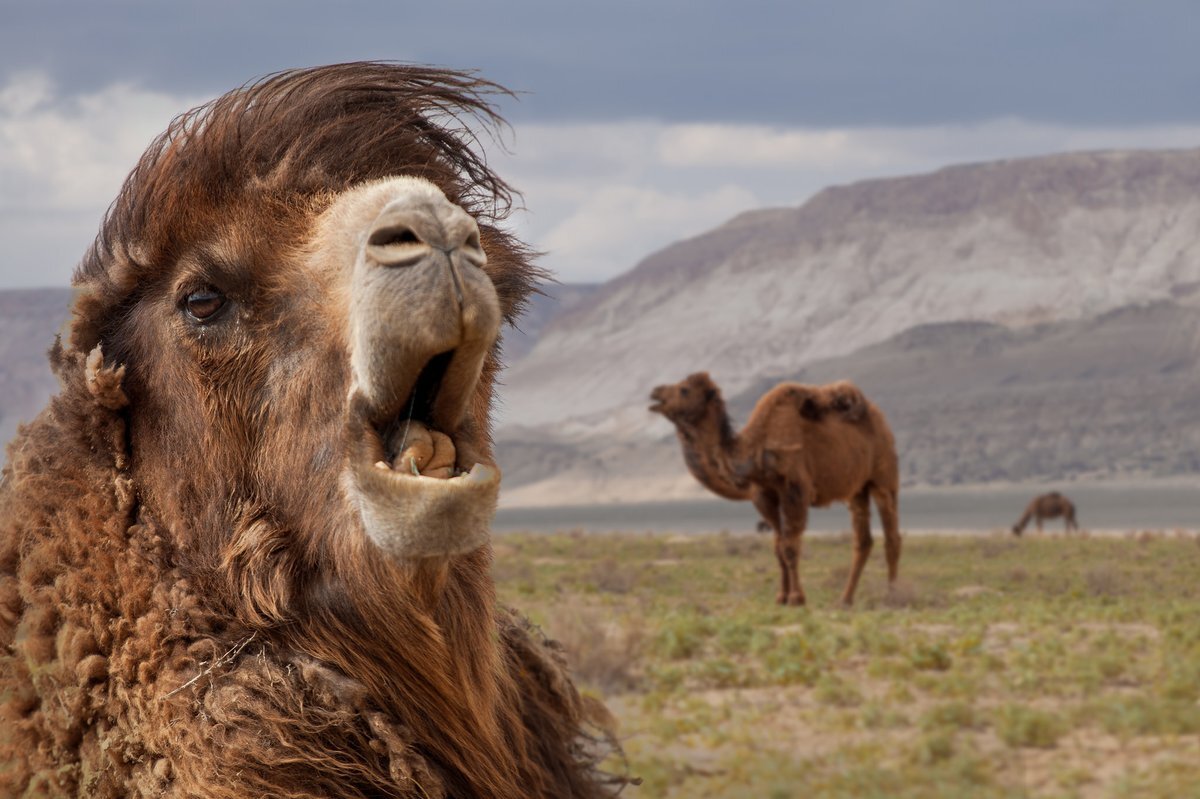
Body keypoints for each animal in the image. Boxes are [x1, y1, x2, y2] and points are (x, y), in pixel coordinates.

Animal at [652, 374, 897, 604]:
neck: (754, 453)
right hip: (857, 489)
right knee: (863, 540)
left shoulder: (795, 490)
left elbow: (790, 546)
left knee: (891, 536)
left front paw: (797, 598)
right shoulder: (765, 496)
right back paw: (845, 600)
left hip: (883, 476)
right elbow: (778, 548)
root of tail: (879, 417)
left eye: (684, 389)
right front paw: (782, 597)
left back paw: (892, 597)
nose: (655, 393)